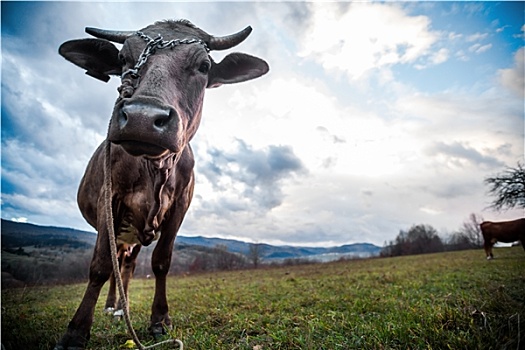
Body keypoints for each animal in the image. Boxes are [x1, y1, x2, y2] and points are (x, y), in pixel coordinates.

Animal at [55, 19, 268, 350]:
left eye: (204, 66)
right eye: (123, 59)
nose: (142, 118)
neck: (155, 168)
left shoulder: (180, 206)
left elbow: (161, 262)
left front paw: (160, 320)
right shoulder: (109, 199)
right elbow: (100, 264)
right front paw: (76, 331)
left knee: (127, 266)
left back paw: (122, 307)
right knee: (117, 262)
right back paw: (112, 306)